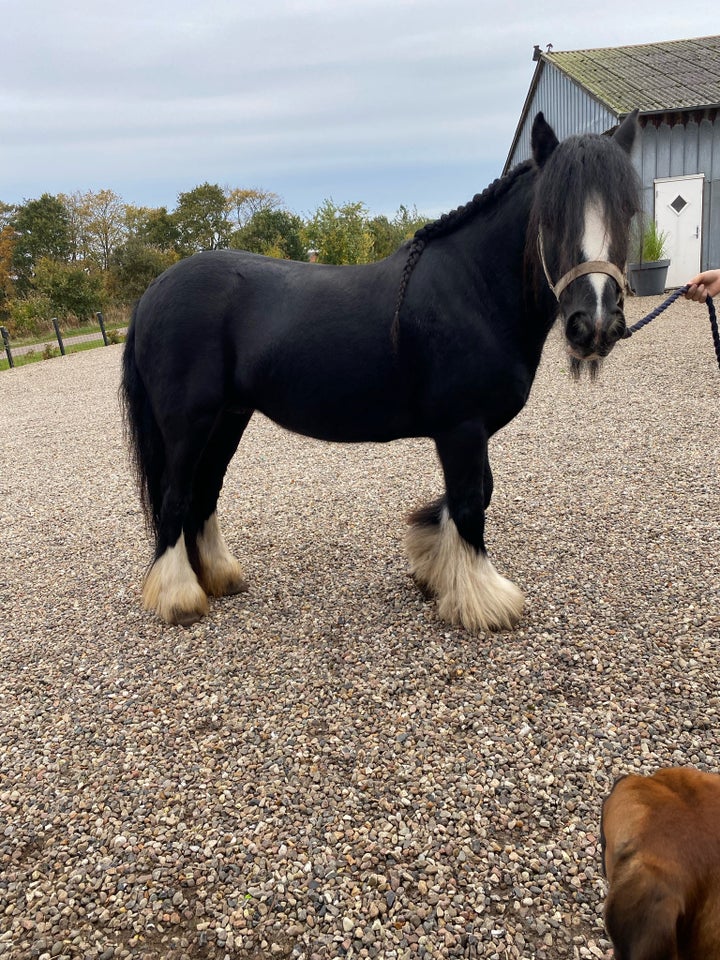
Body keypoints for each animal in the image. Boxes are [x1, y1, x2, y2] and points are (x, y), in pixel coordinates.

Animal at [122, 112, 640, 632]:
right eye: (549, 217)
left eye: (629, 212)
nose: (593, 324)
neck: (474, 290)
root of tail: (152, 294)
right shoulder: (462, 429)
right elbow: (470, 504)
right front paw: (483, 601)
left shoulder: (468, 432)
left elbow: (471, 497)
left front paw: (433, 570)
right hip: (189, 425)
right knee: (175, 498)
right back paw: (179, 598)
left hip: (228, 419)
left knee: (203, 494)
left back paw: (219, 577)